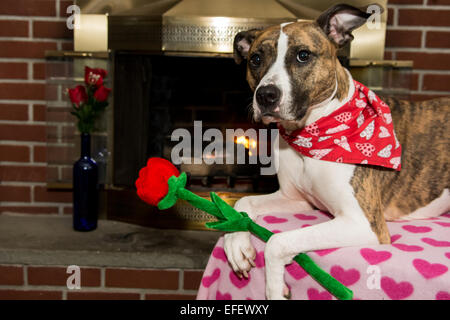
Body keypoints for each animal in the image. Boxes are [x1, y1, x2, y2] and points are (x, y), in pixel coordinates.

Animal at [225, 3, 450, 300]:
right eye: (255, 59)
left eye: (303, 55)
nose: (265, 96)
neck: (312, 134)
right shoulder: (297, 199)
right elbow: (243, 202)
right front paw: (236, 244)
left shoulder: (364, 223)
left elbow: (278, 240)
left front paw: (274, 289)